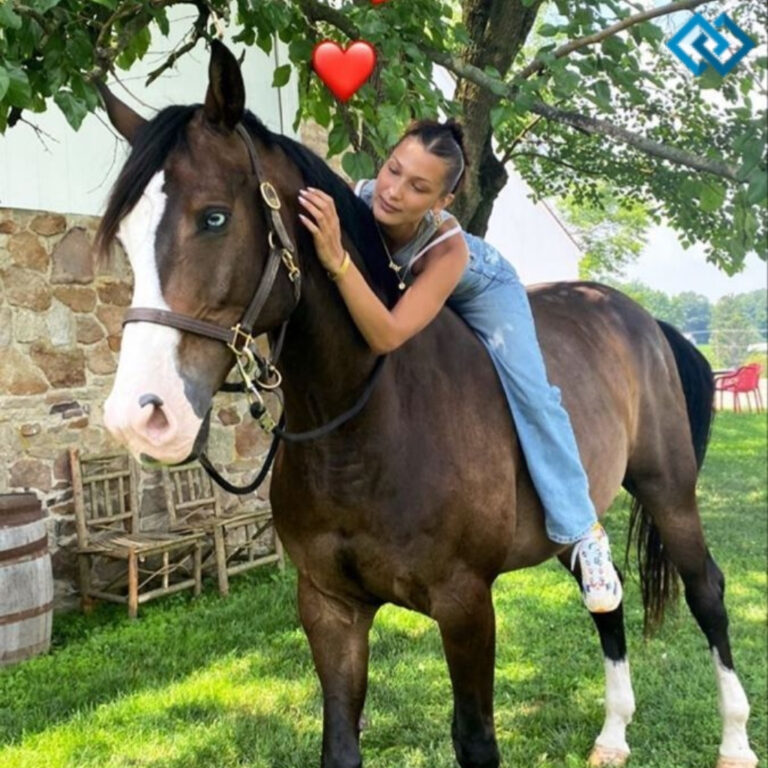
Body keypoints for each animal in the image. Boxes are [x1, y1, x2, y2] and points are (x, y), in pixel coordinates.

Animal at [96, 41, 757, 768]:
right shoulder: (329, 607)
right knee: (604, 595)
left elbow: (475, 740)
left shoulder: (466, 604)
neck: (367, 426)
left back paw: (735, 740)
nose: (141, 414)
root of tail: (640, 318)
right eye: (123, 237)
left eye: (214, 216)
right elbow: (340, 744)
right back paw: (612, 735)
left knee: (707, 592)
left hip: (669, 489)